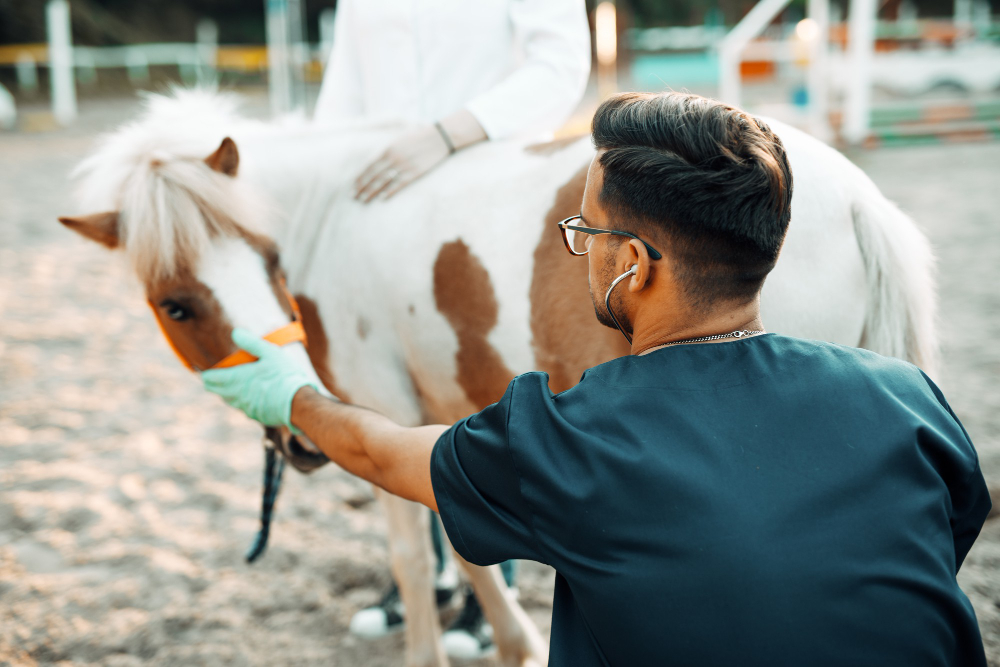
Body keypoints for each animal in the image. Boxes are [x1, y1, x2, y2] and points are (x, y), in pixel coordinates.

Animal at [60, 90, 936, 667]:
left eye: (271, 259)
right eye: (175, 303)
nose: (299, 439)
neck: (330, 214)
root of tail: (856, 201)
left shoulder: (380, 402)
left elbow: (417, 553)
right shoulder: (446, 412)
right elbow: (464, 539)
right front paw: (509, 640)